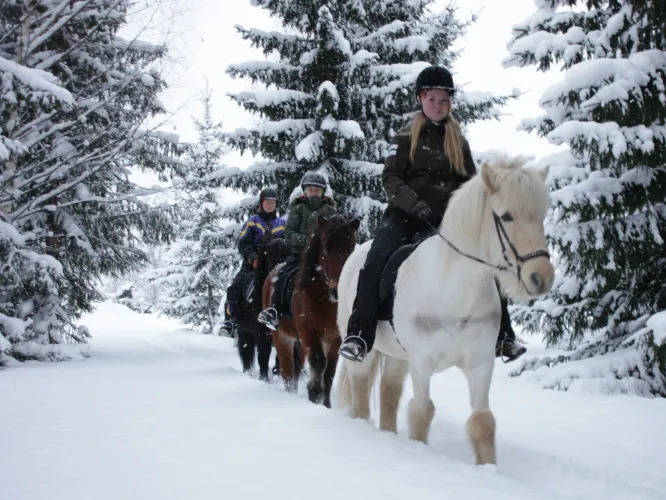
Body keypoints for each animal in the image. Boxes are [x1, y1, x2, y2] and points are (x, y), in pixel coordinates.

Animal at [260, 214, 358, 406]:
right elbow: (319, 363)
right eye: (326, 246)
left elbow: (329, 372)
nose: (337, 290)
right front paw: (314, 395)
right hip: (282, 338)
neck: (324, 300)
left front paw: (325, 404)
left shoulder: (334, 338)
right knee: (288, 373)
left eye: (351, 248)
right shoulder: (309, 333)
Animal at [334, 156, 552, 464]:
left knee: (389, 391)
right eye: (507, 216)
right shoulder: (422, 362)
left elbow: (483, 422)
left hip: (397, 356)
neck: (455, 295)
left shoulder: (480, 363)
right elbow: (421, 413)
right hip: (364, 350)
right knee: (361, 388)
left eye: (541, 216)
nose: (542, 277)